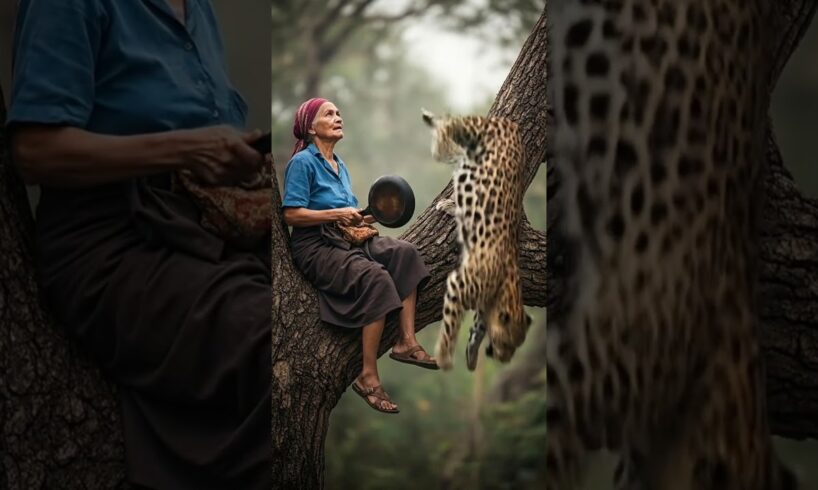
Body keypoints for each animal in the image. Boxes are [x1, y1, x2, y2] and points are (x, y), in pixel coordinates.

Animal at [421, 109, 532, 371]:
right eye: (506, 343)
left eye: (516, 347)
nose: (504, 360)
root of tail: (509, 124)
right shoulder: (459, 285)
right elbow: (451, 324)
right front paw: (444, 356)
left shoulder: (482, 311)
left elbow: (477, 330)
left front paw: (471, 357)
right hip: (475, 132)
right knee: (450, 127)